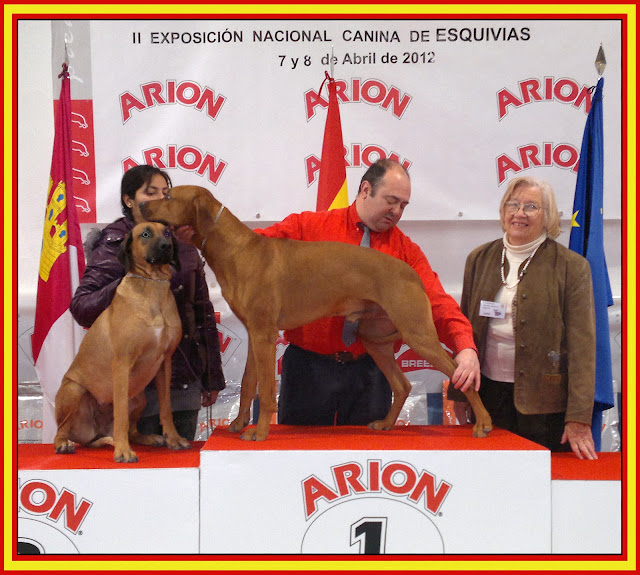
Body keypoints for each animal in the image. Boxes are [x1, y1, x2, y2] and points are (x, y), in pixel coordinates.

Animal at [53, 223, 189, 466]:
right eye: (145, 233)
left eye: (167, 232)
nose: (167, 246)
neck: (152, 285)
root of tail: (95, 432)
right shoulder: (123, 363)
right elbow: (122, 417)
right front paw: (123, 451)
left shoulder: (165, 362)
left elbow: (166, 408)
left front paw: (173, 438)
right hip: (74, 390)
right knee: (61, 430)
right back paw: (64, 444)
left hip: (139, 397)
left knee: (130, 431)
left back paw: (147, 438)